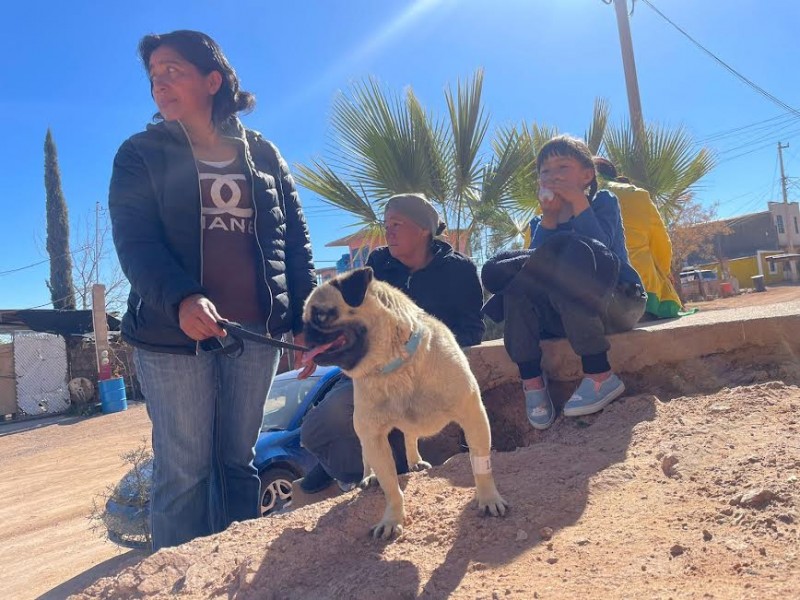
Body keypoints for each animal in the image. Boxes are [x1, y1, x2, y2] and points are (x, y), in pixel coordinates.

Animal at [300, 268, 506, 540]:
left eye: (321, 316)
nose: (303, 332)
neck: (394, 365)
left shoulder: (473, 416)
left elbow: (481, 465)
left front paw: (488, 498)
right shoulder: (373, 437)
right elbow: (391, 486)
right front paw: (392, 518)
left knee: (410, 435)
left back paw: (414, 460)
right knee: (368, 455)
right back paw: (370, 476)